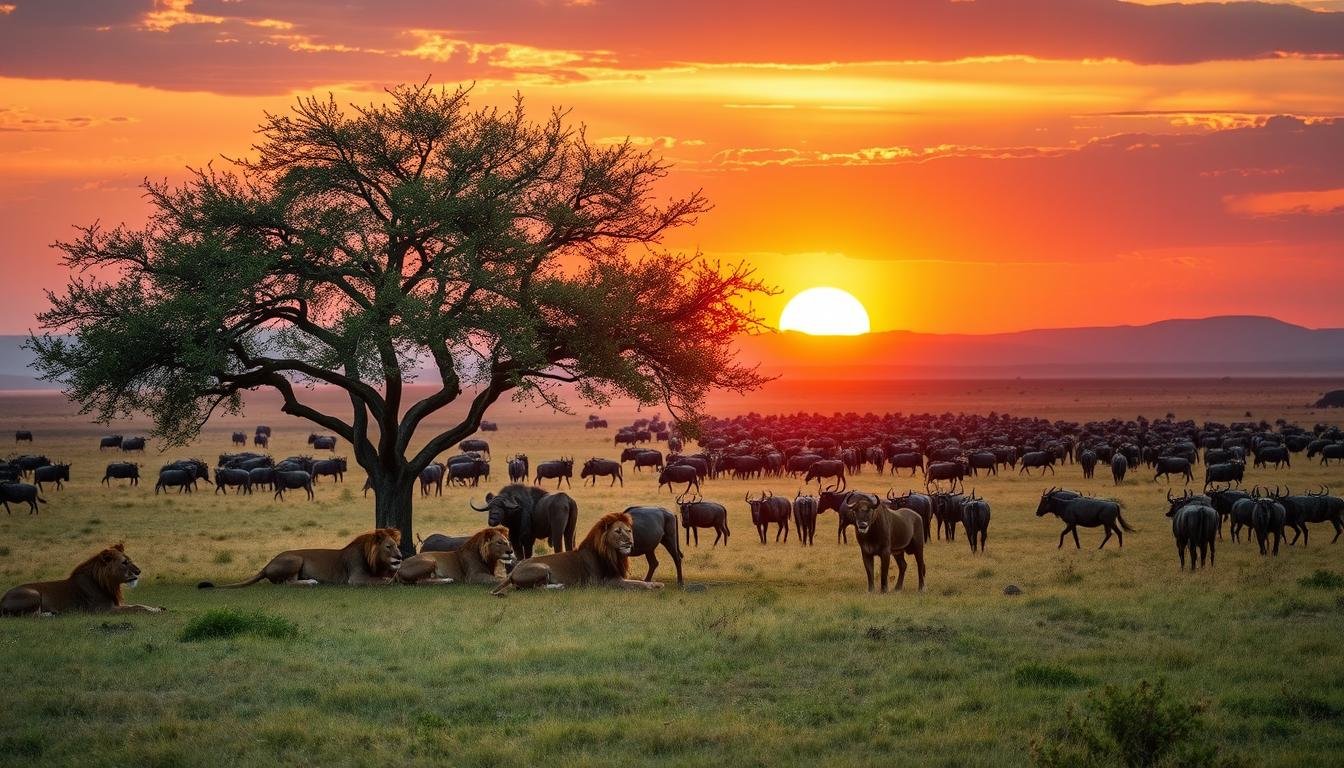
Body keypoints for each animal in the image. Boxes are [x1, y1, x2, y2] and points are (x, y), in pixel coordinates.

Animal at [1, 540, 163, 618]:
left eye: (130, 560)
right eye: (124, 562)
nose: (139, 571)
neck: (109, 583)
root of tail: (2, 600)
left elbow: (138, 604)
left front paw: (158, 608)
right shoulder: (102, 610)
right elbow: (135, 608)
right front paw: (154, 612)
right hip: (33, 593)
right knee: (30, 616)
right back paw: (50, 614)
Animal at [196, 529, 400, 589]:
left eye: (397, 544)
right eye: (388, 546)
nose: (400, 557)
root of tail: (266, 565)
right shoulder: (355, 578)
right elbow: (381, 580)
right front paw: (389, 580)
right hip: (295, 559)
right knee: (287, 583)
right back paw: (310, 582)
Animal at [491, 513, 663, 597]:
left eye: (629, 531)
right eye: (618, 531)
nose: (630, 542)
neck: (613, 554)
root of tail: (512, 572)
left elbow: (638, 581)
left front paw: (656, 584)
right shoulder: (602, 582)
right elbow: (635, 584)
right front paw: (651, 586)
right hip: (542, 567)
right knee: (536, 588)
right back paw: (559, 587)